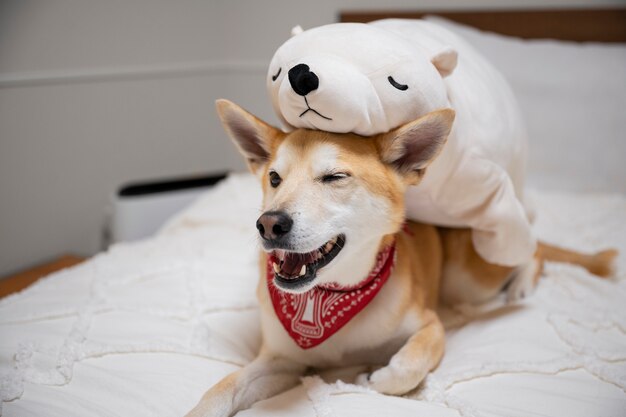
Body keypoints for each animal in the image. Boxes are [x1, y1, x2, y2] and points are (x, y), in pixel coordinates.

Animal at [185, 99, 616, 414]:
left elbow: (408, 365)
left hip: (469, 280)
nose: (269, 224)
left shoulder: (429, 326)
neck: (332, 296)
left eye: (334, 178)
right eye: (274, 178)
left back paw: (523, 283)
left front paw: (372, 378)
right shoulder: (282, 359)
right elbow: (222, 388)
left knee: (532, 248)